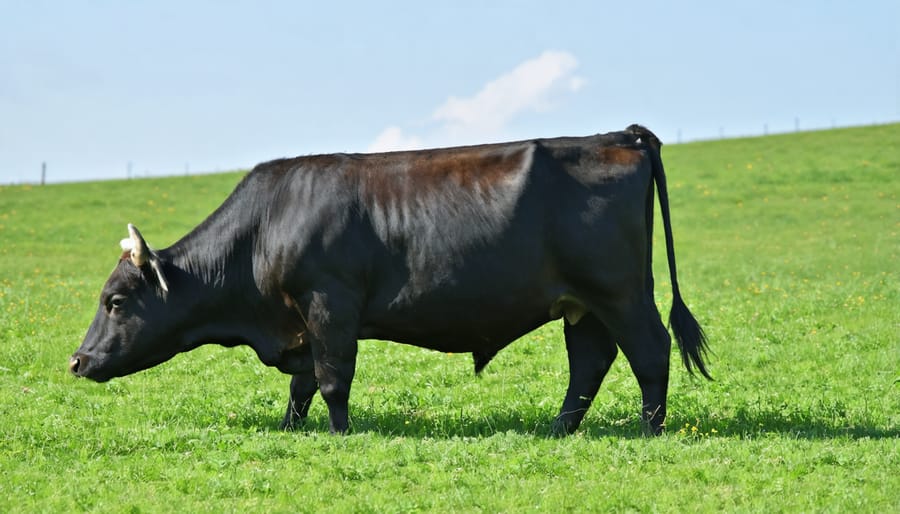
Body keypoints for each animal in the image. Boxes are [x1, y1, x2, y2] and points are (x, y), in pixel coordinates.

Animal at [70, 123, 712, 432]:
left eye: (116, 301)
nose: (77, 361)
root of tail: (619, 137)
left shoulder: (328, 304)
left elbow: (332, 380)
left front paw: (340, 435)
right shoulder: (301, 320)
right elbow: (301, 386)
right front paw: (290, 429)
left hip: (622, 293)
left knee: (650, 353)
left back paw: (650, 430)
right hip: (582, 304)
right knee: (589, 363)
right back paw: (559, 430)